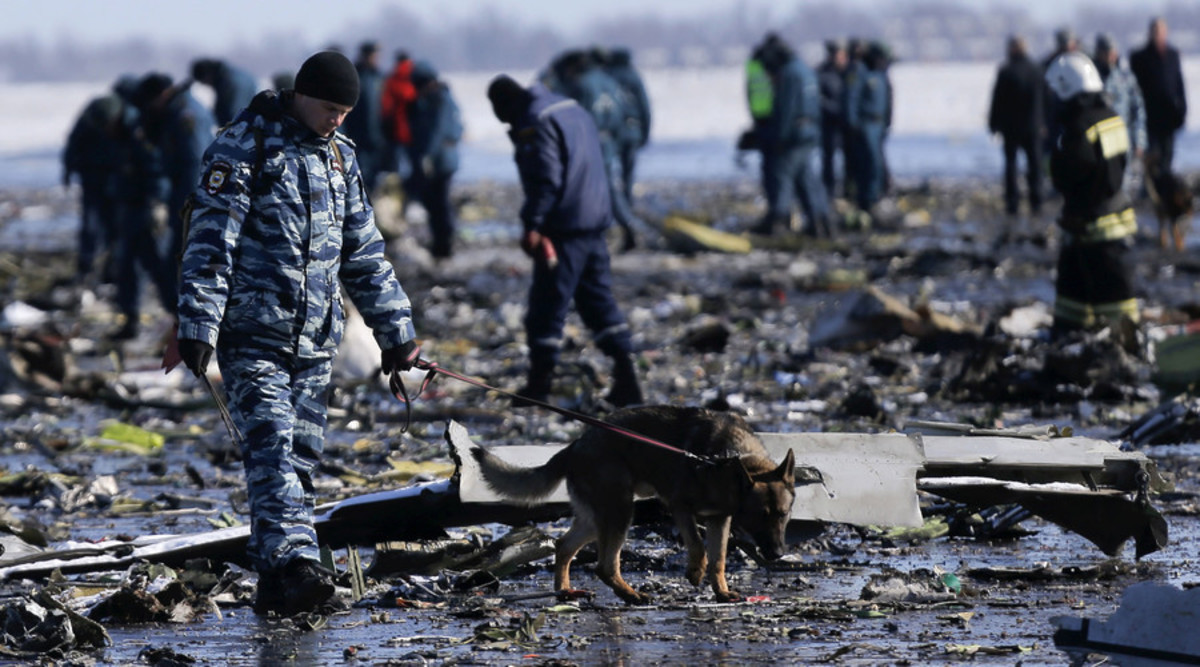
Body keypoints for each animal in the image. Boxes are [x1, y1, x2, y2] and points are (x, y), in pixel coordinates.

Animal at [470, 405, 796, 604]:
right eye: (759, 516)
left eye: (783, 515)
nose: (778, 554)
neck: (724, 462)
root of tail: (574, 445)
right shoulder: (680, 508)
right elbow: (699, 547)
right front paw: (694, 573)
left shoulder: (720, 520)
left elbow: (719, 560)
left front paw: (721, 592)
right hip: (620, 512)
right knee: (605, 565)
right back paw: (631, 596)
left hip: (597, 518)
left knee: (563, 546)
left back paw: (565, 591)